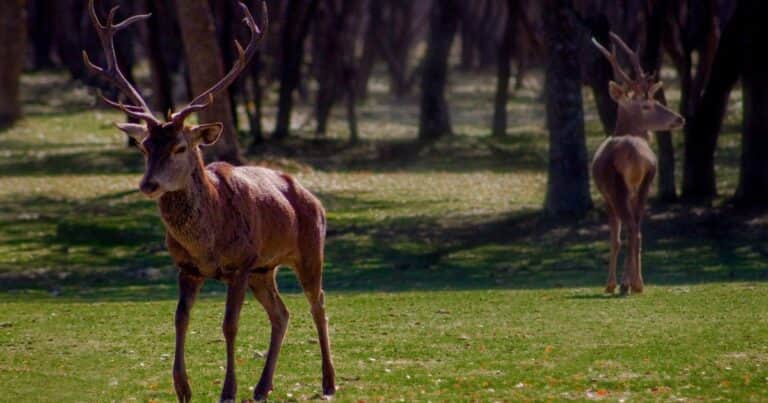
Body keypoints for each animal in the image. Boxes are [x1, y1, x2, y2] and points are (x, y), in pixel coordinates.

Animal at [82, 1, 335, 401]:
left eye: (180, 147)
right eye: (145, 146)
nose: (148, 183)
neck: (208, 245)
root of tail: (313, 198)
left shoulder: (241, 262)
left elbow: (229, 324)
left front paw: (227, 389)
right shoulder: (187, 267)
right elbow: (179, 319)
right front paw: (182, 387)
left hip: (309, 250)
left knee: (318, 303)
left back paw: (328, 381)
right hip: (265, 269)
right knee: (281, 313)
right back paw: (262, 386)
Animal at [590, 33, 685, 296]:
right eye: (647, 105)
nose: (679, 118)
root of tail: (635, 156)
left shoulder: (606, 196)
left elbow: (615, 237)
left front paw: (612, 284)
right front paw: (625, 281)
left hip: (617, 186)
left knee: (631, 228)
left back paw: (627, 284)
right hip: (645, 183)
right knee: (638, 229)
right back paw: (638, 283)